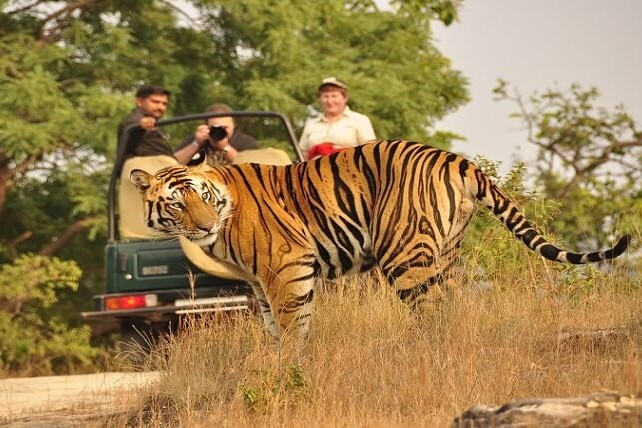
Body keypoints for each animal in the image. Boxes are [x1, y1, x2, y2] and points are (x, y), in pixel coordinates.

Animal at [130, 140, 632, 344]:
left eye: (202, 197)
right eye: (176, 204)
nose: (202, 227)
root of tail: (458, 159)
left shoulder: (287, 268)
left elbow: (293, 329)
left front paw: (291, 371)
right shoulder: (260, 283)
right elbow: (274, 329)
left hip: (405, 256)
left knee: (433, 314)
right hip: (445, 254)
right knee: (454, 308)